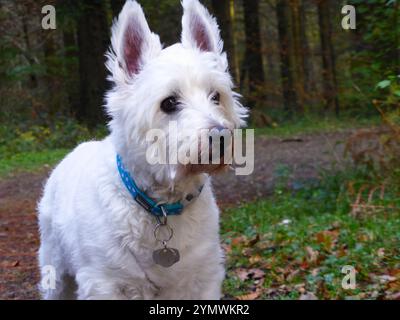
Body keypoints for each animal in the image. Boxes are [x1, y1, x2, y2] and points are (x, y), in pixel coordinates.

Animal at [37, 0, 245, 300]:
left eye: (216, 96)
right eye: (169, 103)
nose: (221, 137)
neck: (162, 207)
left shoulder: (202, 278)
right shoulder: (106, 282)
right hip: (55, 269)